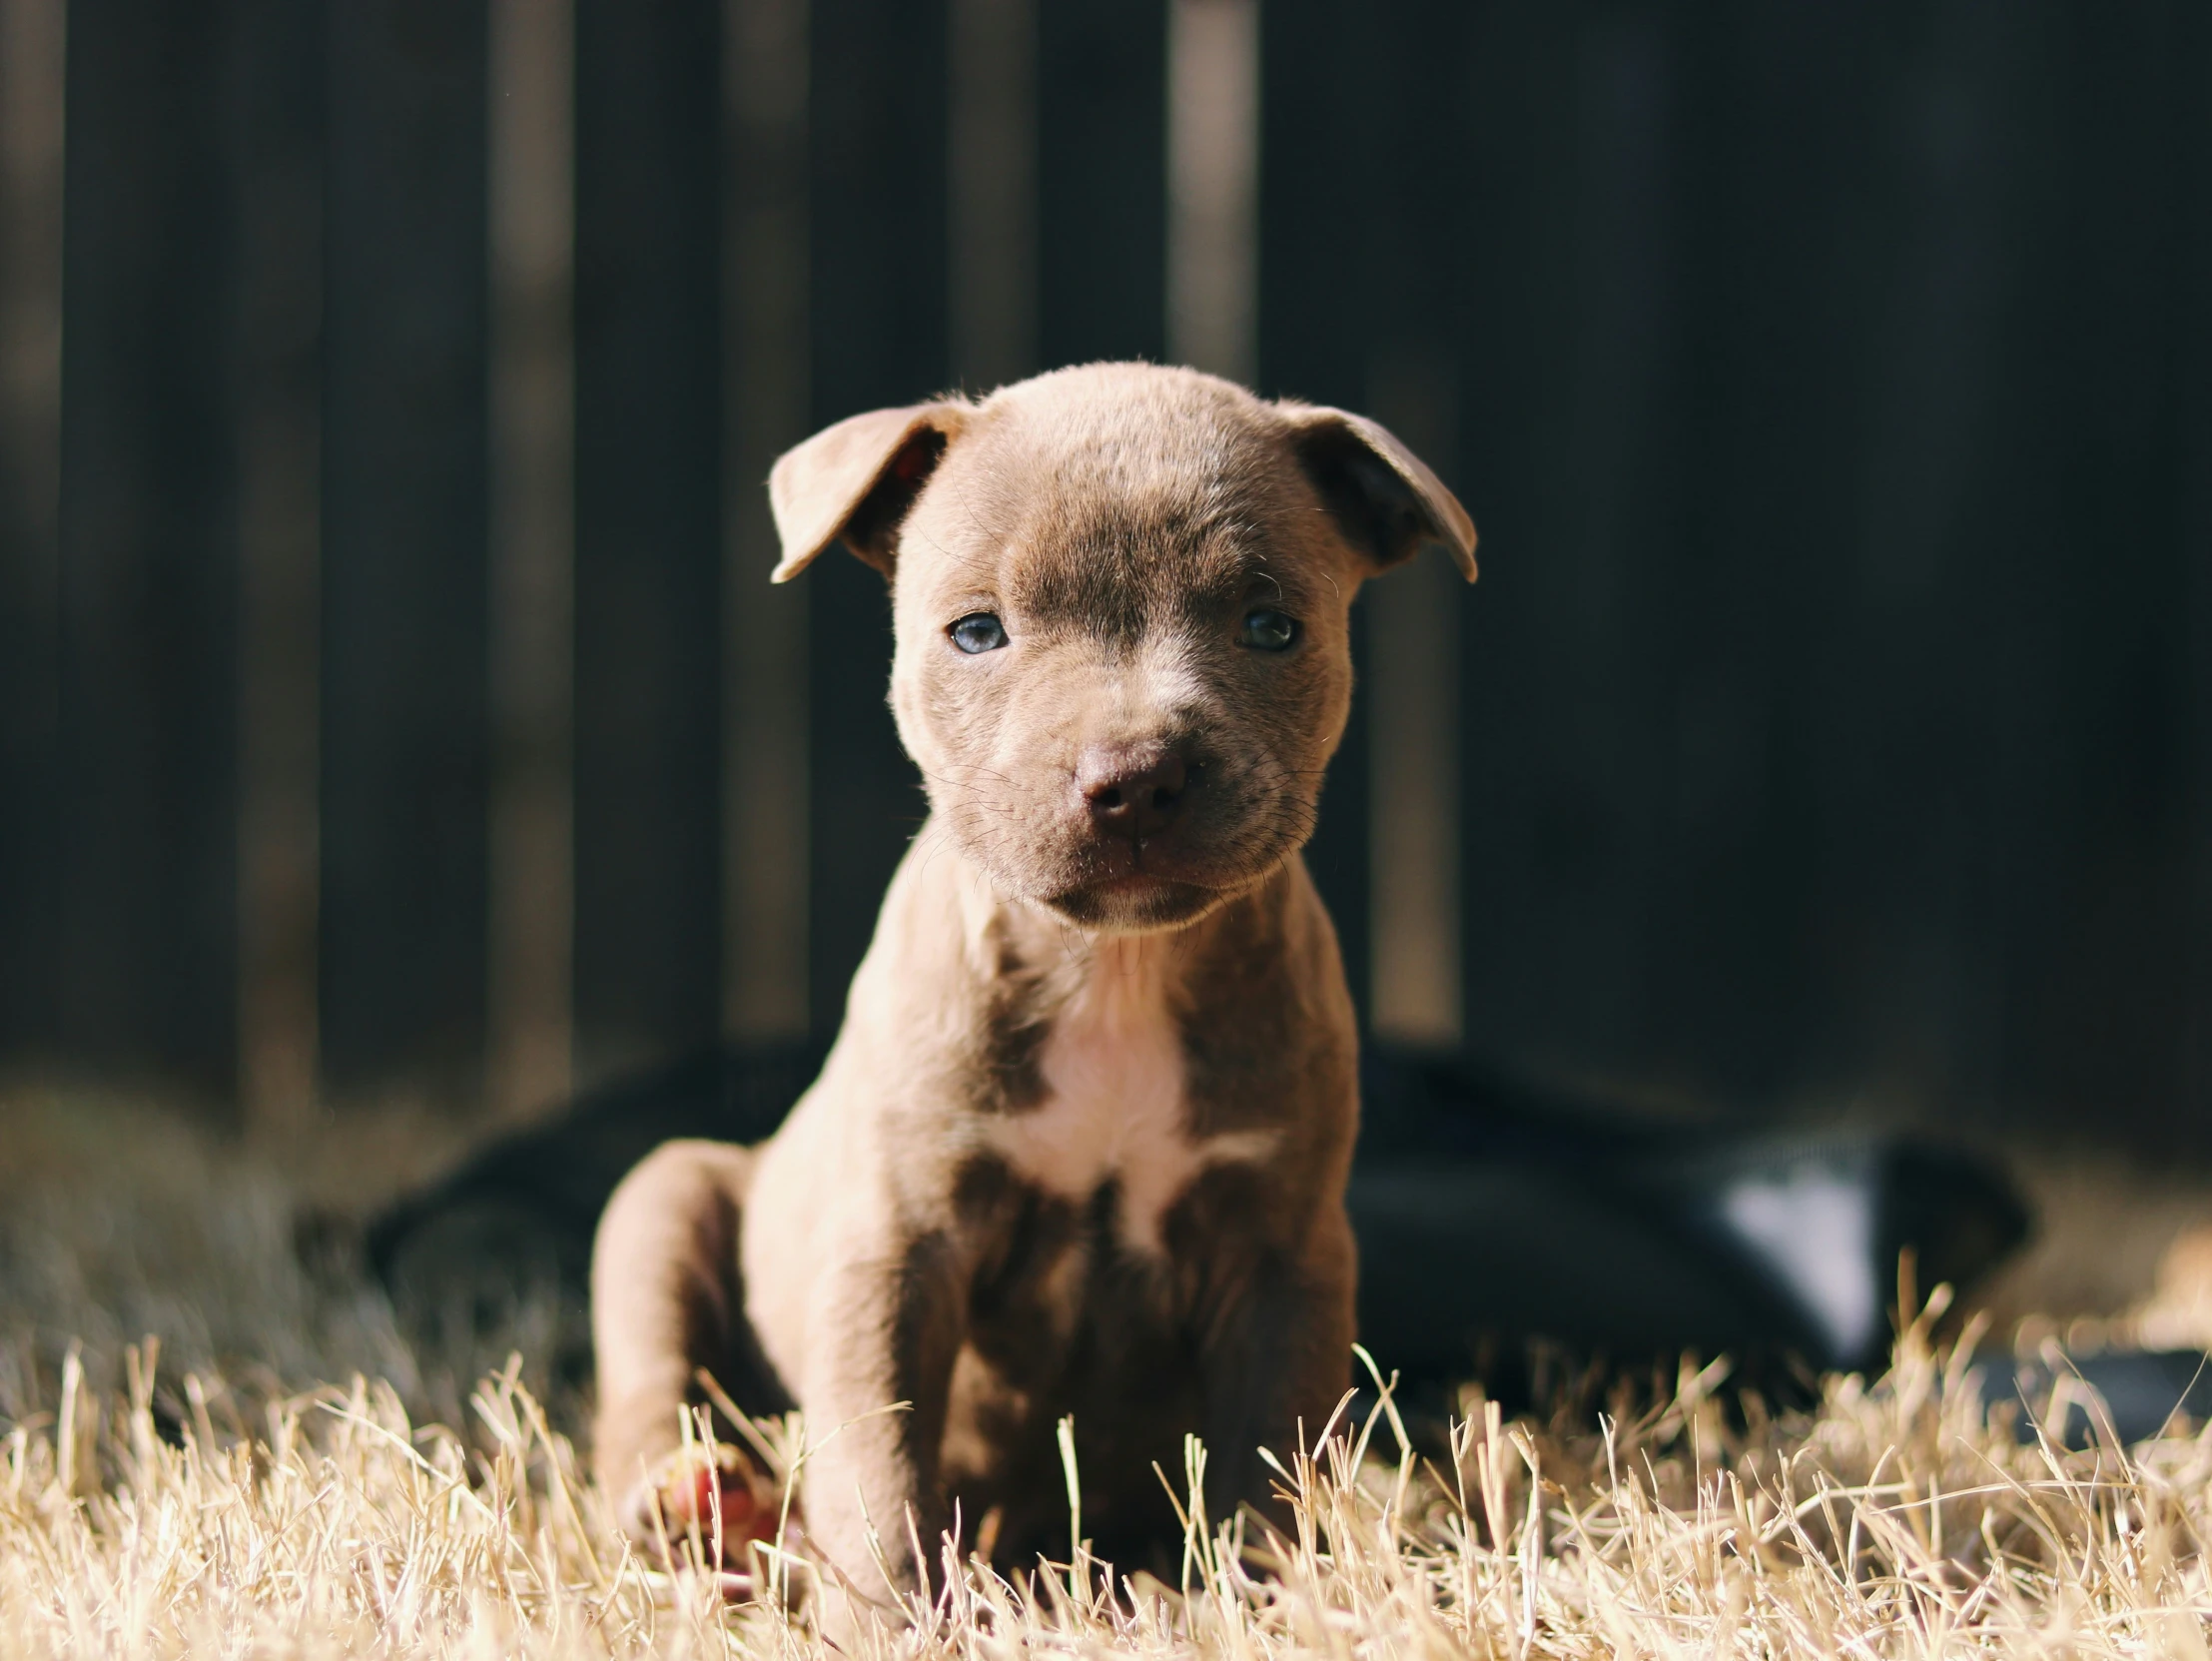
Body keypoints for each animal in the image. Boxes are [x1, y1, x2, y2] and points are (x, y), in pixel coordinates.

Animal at [597, 363, 1477, 1610]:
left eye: (1271, 626)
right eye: (976, 630)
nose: (1136, 775)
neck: (1112, 970)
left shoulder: (1283, 1252)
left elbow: (1269, 1457)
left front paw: (1265, 1597)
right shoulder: (896, 1242)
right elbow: (880, 1460)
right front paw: (891, 1610)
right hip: (664, 1196)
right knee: (646, 1377)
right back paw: (697, 1498)